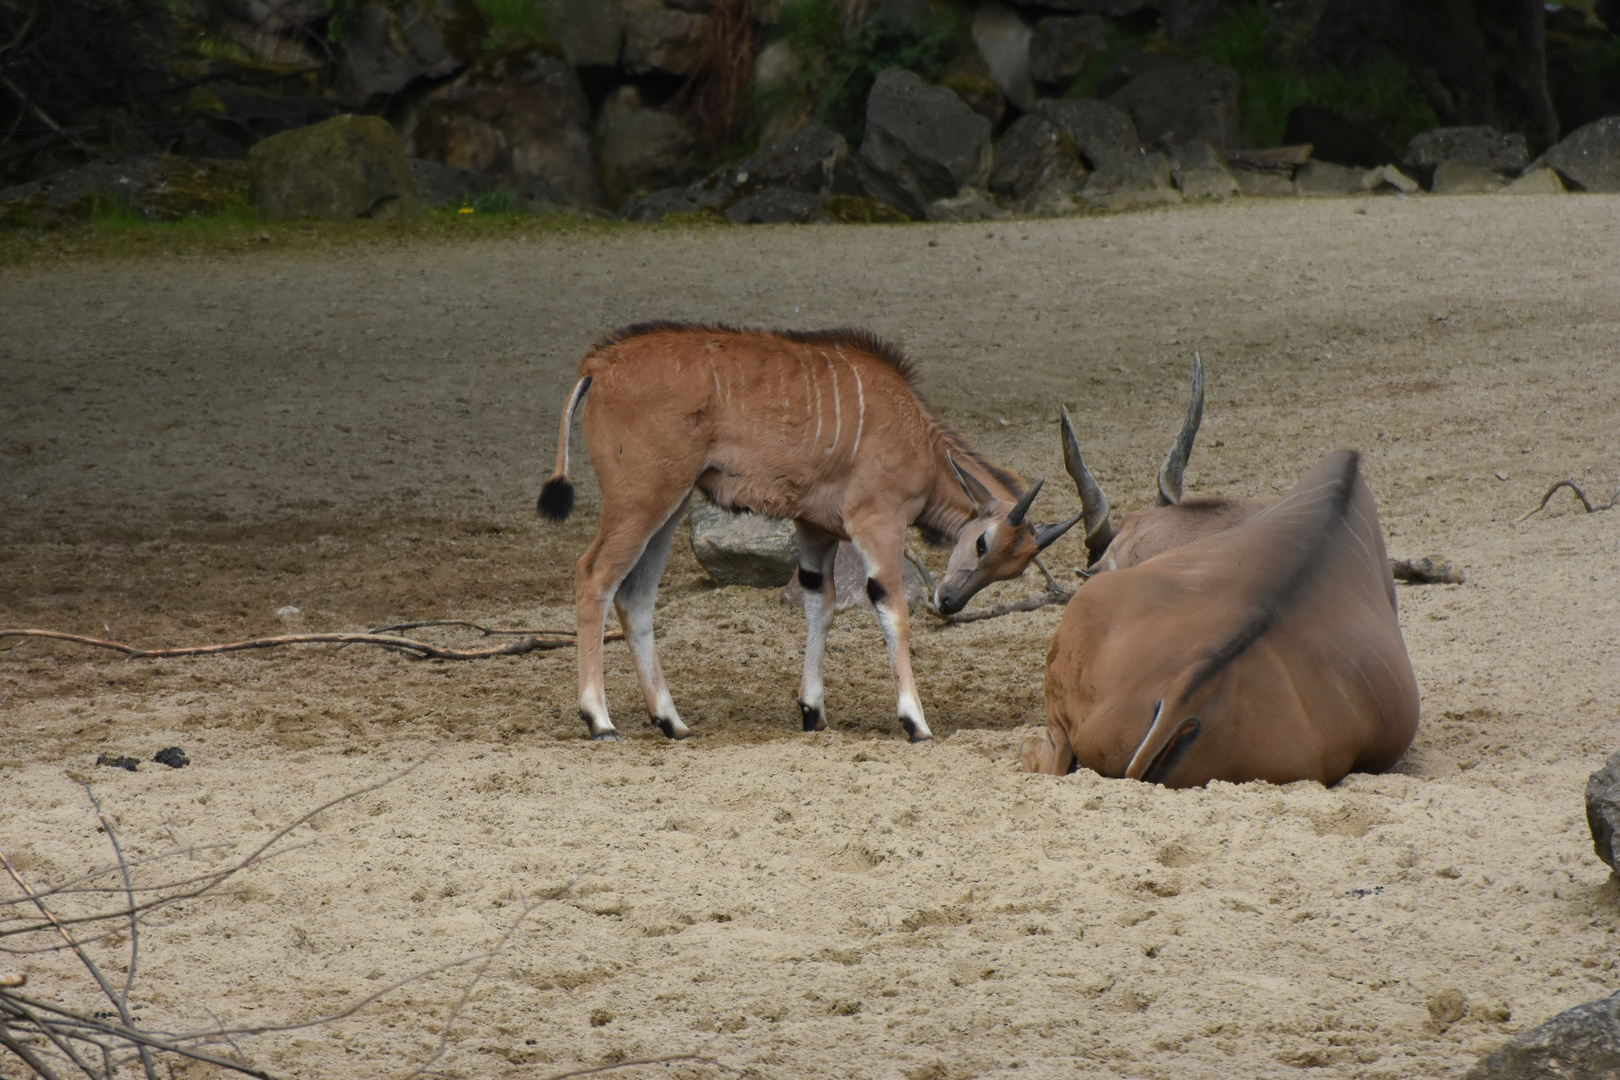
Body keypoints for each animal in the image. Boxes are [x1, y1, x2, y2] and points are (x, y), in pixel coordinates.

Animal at [537, 320, 1082, 744]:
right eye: (983, 541)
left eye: (1009, 571)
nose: (947, 602)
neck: (917, 437)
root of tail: (599, 366)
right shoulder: (877, 520)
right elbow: (892, 608)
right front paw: (915, 721)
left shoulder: (815, 527)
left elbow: (821, 603)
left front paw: (813, 712)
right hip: (642, 500)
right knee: (594, 576)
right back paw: (599, 720)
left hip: (669, 507)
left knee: (636, 597)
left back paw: (671, 721)